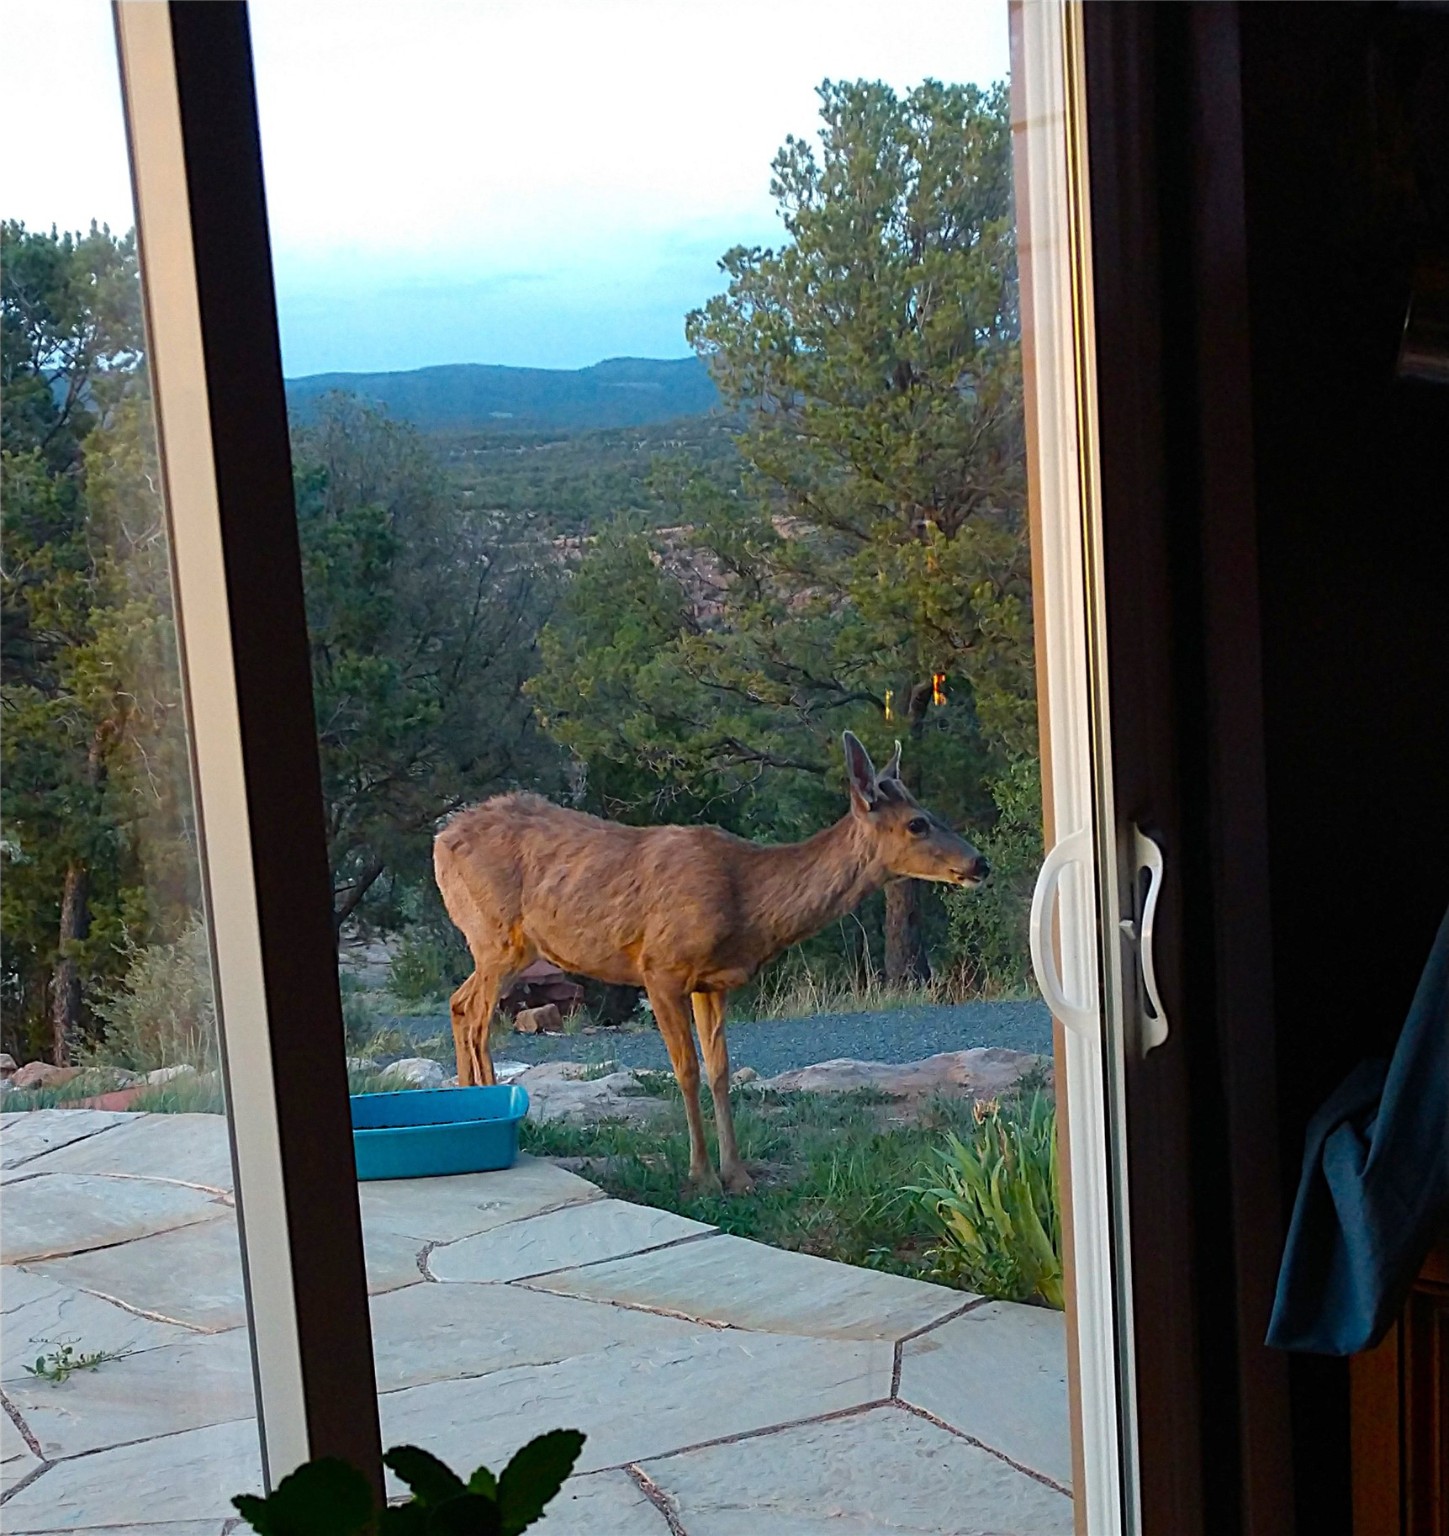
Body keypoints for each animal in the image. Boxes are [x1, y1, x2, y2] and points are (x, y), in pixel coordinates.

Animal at [433, 732, 989, 1192]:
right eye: (917, 823)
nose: (980, 863)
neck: (748, 901)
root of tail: (440, 840)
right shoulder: (660, 968)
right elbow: (686, 1070)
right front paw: (700, 1175)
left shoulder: (712, 983)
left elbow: (721, 1071)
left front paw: (737, 1175)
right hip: (497, 935)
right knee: (478, 1017)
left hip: (501, 945)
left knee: (459, 1004)